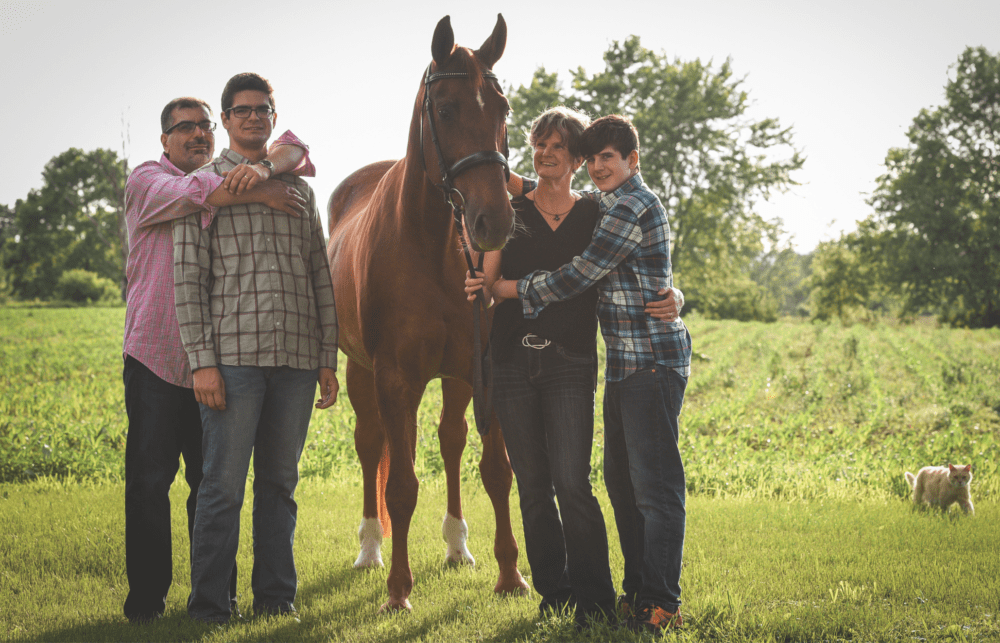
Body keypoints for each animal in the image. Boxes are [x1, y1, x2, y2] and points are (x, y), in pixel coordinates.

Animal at [328, 12, 532, 612]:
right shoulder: (395, 378)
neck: (431, 247)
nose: (495, 221)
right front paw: (398, 590)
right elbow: (400, 485)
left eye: (502, 109)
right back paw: (371, 550)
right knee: (371, 445)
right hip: (361, 373)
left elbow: (496, 471)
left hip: (457, 378)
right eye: (445, 110)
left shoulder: (484, 369)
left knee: (450, 439)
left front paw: (510, 575)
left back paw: (458, 547)